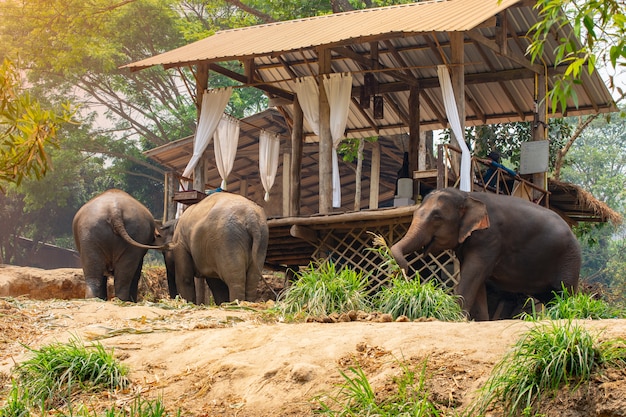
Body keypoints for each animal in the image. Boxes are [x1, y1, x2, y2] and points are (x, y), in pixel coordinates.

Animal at [390, 187, 580, 320]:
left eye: (437, 217)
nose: (405, 271)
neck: (467, 195)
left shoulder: (489, 238)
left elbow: (473, 274)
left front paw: (455, 318)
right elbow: (477, 281)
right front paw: (478, 320)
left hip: (569, 259)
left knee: (564, 293)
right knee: (551, 297)